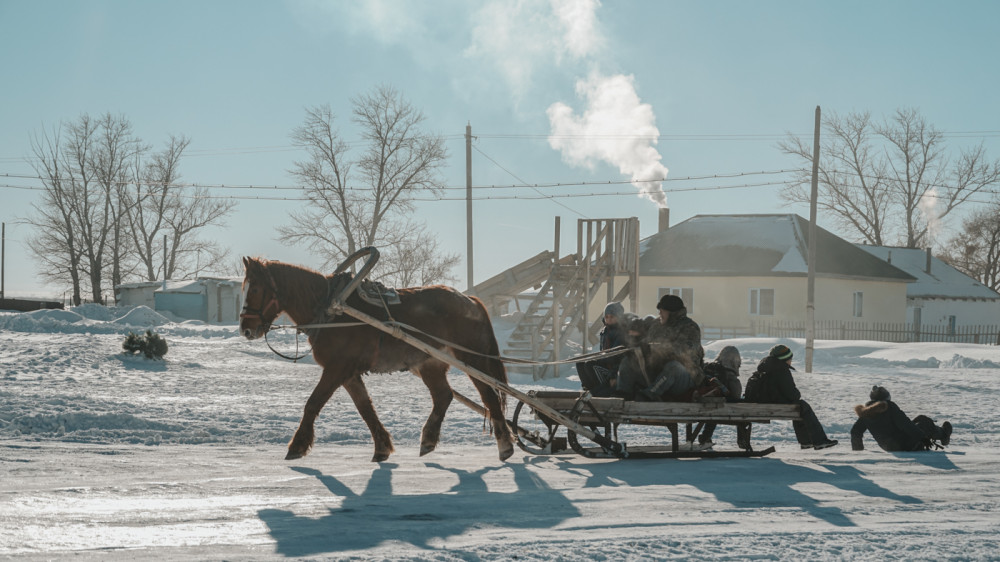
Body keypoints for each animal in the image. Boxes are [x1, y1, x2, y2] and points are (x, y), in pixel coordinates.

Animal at [237, 256, 512, 462]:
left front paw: (297, 445)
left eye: (256, 288)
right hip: (429, 363)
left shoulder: (336, 368)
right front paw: (382, 447)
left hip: (471, 358)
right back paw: (428, 439)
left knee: (489, 396)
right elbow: (365, 408)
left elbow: (313, 403)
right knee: (443, 396)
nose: (246, 329)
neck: (331, 309)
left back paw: (505, 445)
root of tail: (471, 301)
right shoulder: (348, 373)